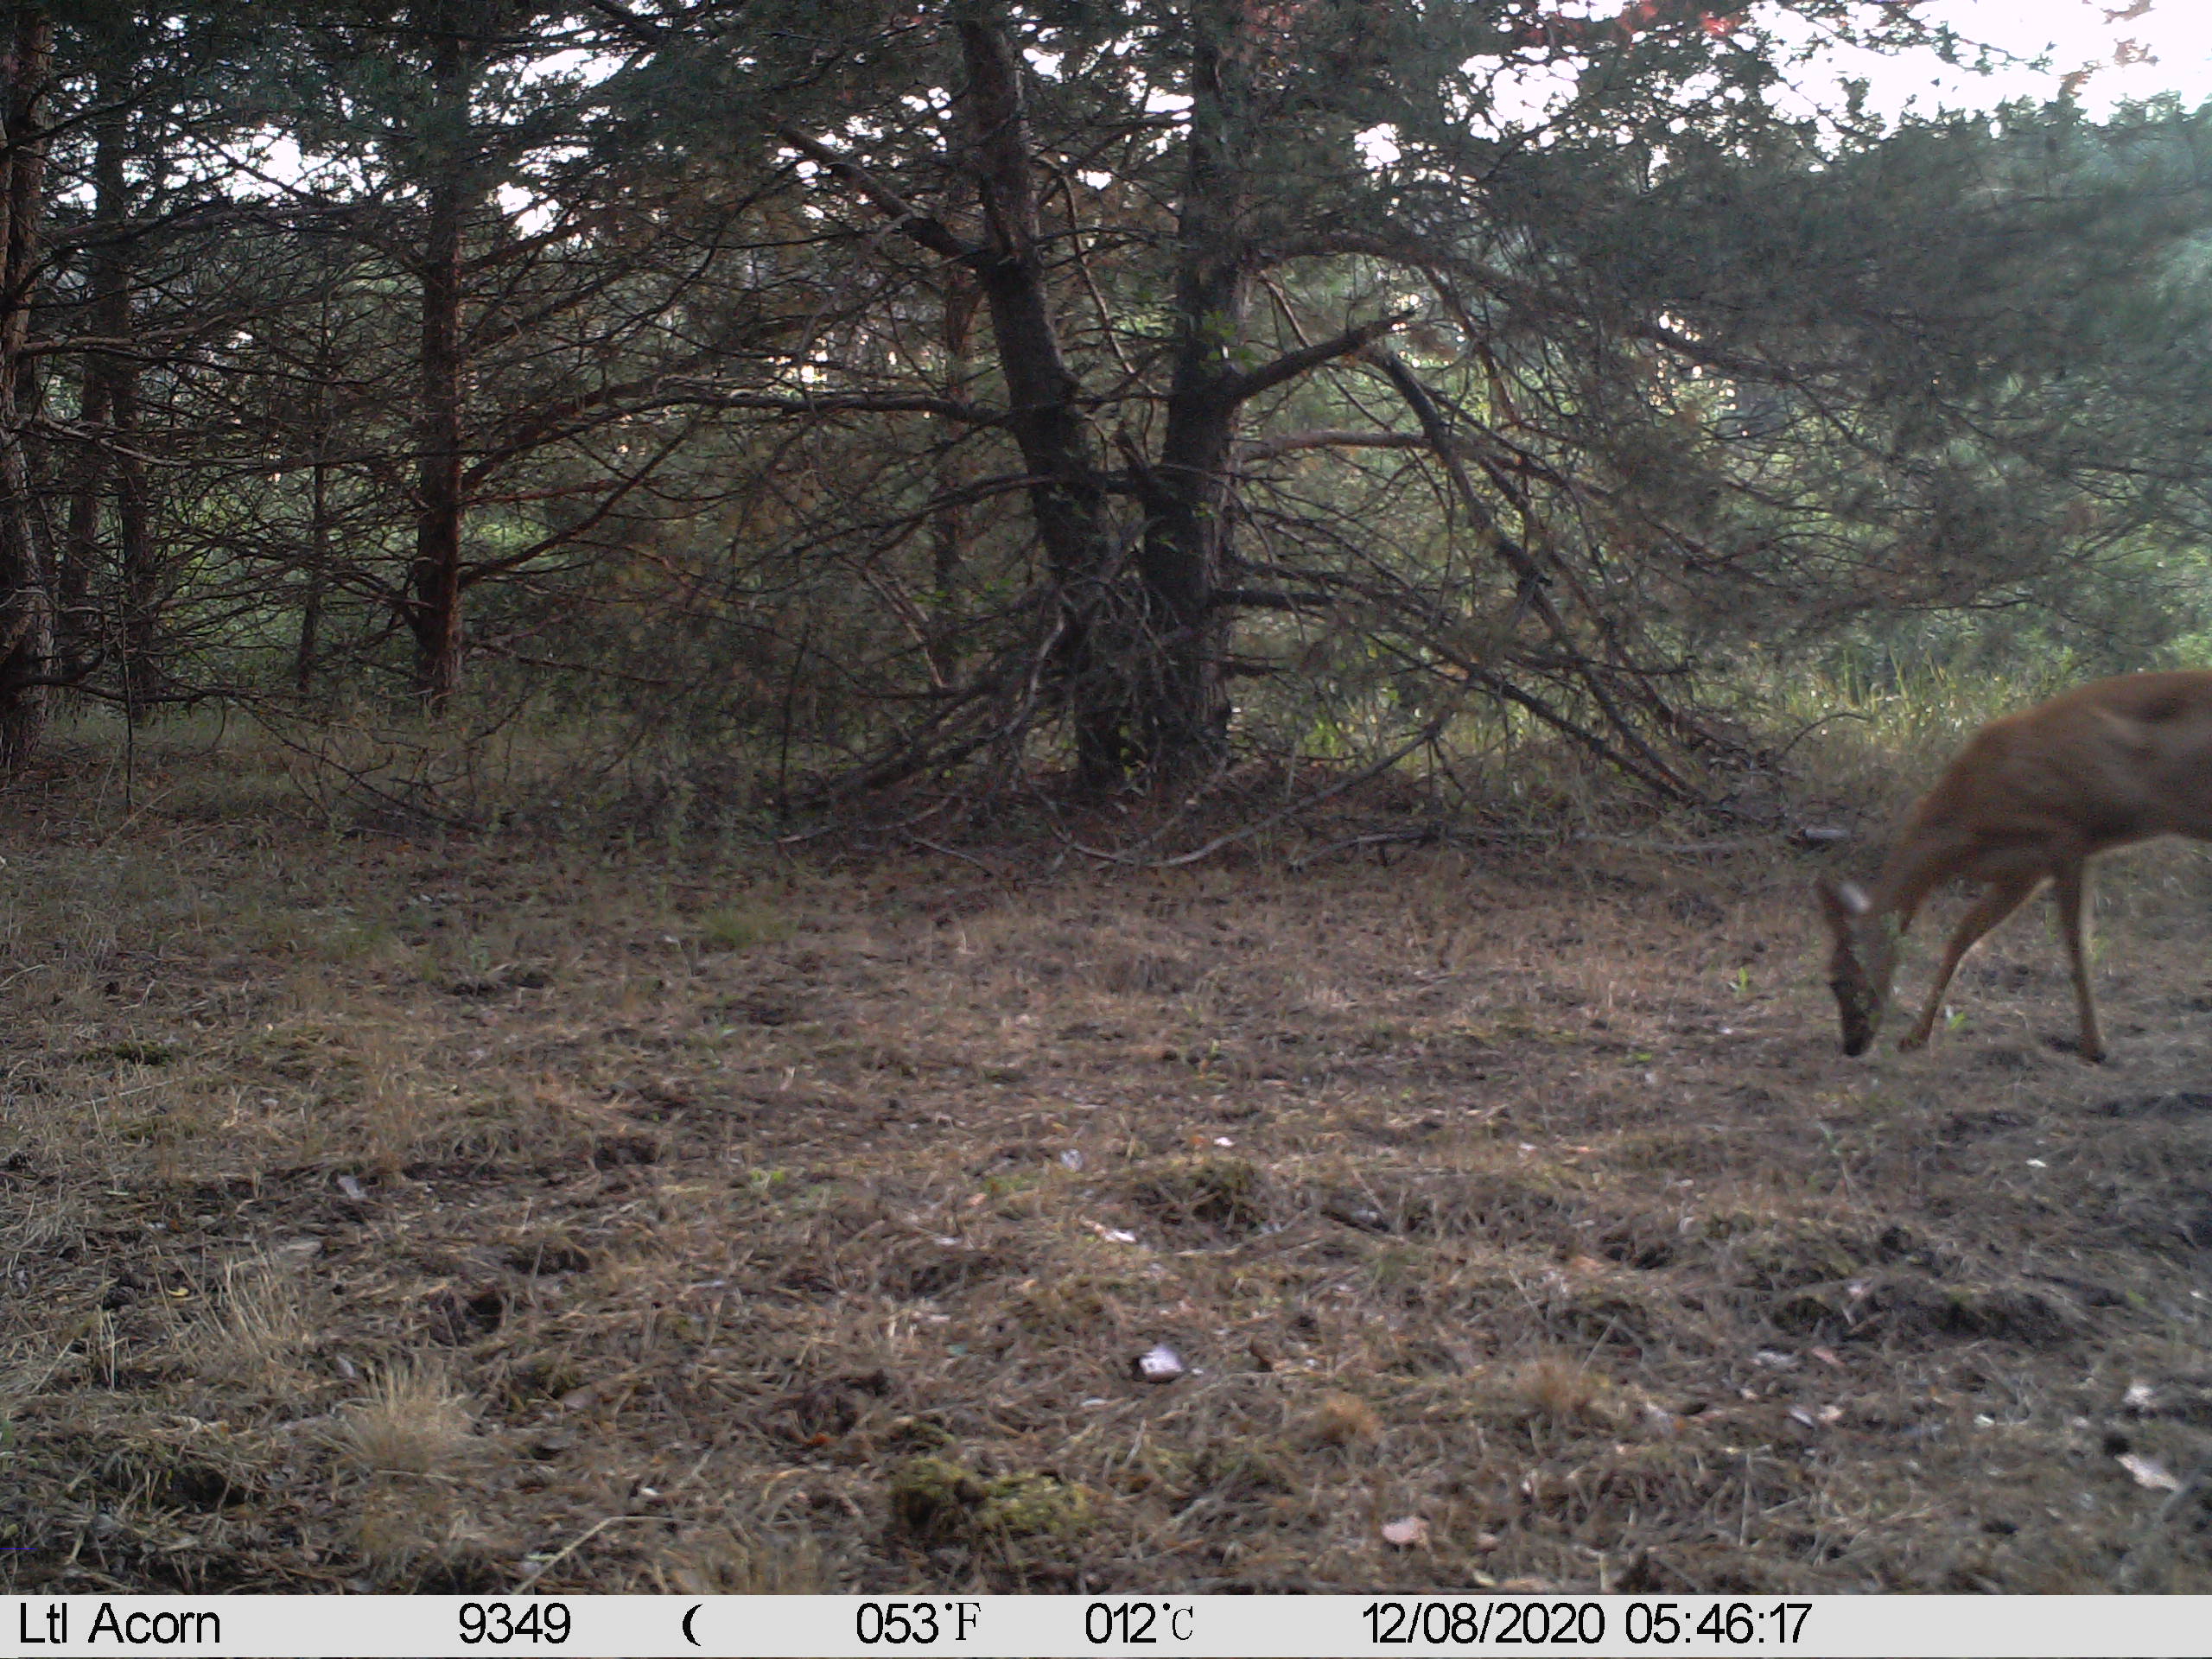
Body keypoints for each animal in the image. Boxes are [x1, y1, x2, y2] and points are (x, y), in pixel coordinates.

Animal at [1815, 670, 2212, 1064]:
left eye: (1837, 979)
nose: (1851, 1046)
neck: (1960, 829)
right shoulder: (2022, 873)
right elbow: (1962, 938)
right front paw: (1915, 1037)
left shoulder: (2066, 838)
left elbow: (2076, 943)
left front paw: (2094, 1046)